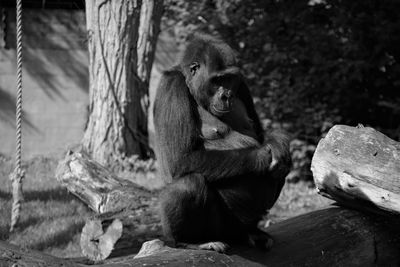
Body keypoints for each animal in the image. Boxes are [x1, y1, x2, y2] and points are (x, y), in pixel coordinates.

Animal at [153, 33, 290, 253]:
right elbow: (181, 160)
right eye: (217, 80)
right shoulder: (172, 86)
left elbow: (260, 134)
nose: (226, 95)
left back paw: (253, 232)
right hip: (217, 229)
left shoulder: (242, 87)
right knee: (189, 184)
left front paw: (278, 143)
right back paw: (190, 241)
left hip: (241, 227)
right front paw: (263, 154)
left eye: (229, 79)